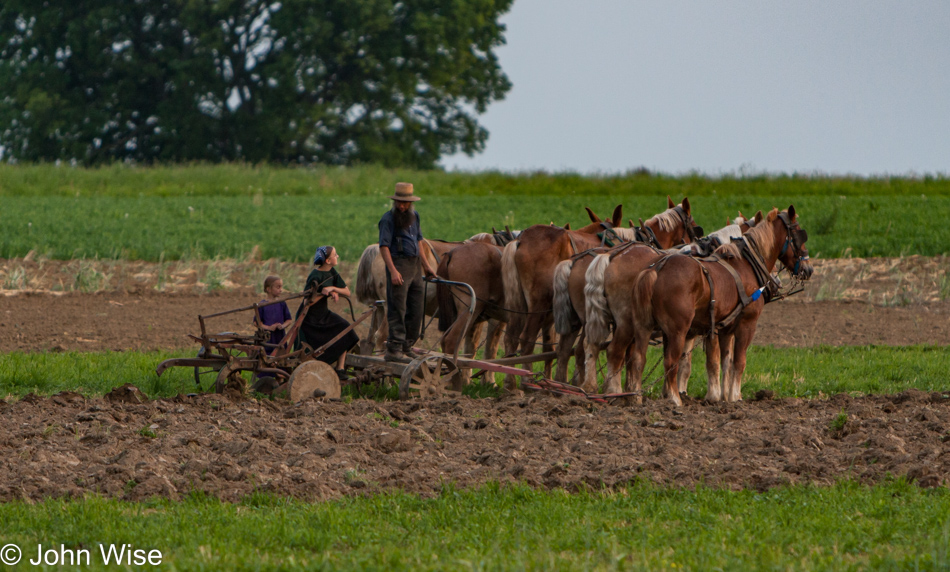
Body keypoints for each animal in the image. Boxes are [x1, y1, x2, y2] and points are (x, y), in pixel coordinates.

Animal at [502, 204, 628, 384]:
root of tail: (521, 241)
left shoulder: (554, 318)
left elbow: (553, 349)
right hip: (538, 306)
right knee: (527, 340)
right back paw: (525, 382)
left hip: (521, 306)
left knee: (511, 338)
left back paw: (510, 383)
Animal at [588, 212, 768, 396]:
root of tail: (611, 256)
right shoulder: (716, 326)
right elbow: (712, 359)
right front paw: (714, 393)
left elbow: (689, 360)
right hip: (627, 322)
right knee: (614, 351)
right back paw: (612, 389)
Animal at [636, 208, 816, 404]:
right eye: (799, 234)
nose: (809, 269)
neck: (746, 264)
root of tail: (657, 269)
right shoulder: (745, 324)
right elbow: (736, 361)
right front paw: (733, 396)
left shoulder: (724, 329)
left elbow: (725, 362)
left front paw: (724, 396)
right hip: (677, 330)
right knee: (670, 361)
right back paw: (675, 399)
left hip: (654, 328)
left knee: (639, 358)